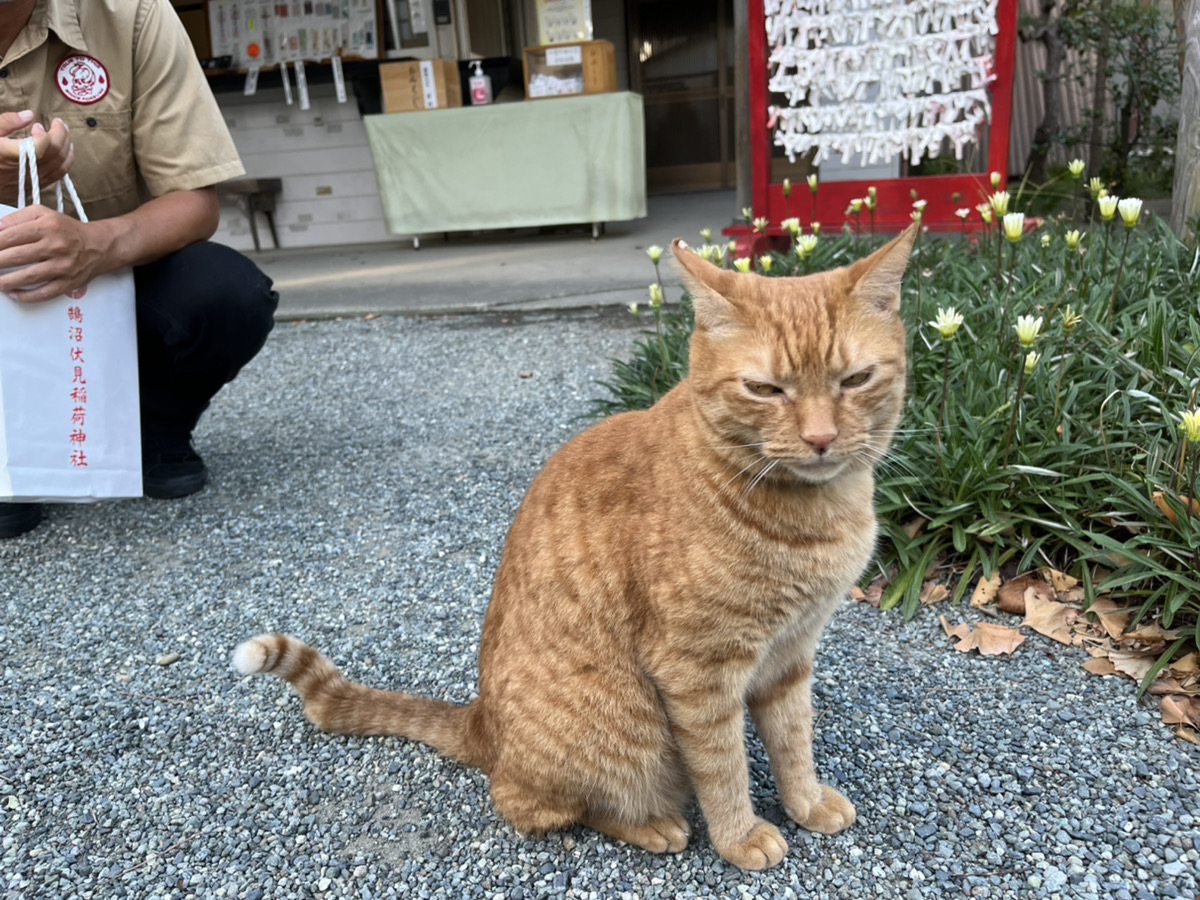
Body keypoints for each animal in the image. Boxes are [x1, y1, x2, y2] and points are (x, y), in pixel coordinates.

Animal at [231, 226, 907, 873]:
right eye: (764, 389)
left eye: (855, 380)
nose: (820, 438)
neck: (812, 513)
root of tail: (481, 720)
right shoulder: (698, 671)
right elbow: (723, 766)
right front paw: (739, 836)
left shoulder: (791, 650)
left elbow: (793, 740)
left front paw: (805, 802)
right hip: (625, 730)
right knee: (540, 805)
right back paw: (653, 824)